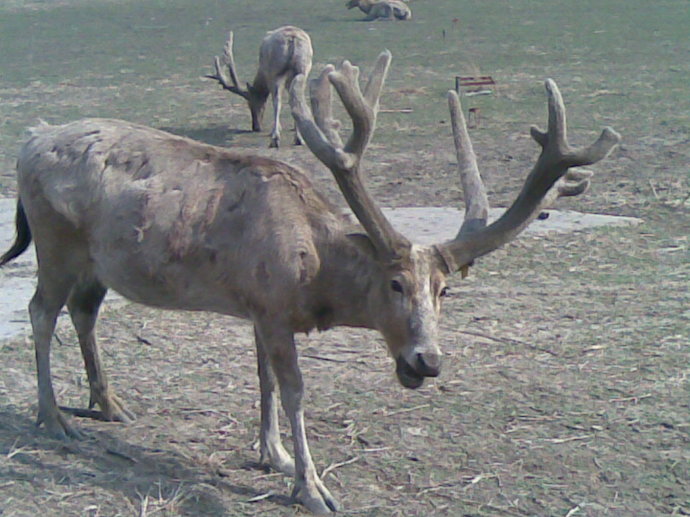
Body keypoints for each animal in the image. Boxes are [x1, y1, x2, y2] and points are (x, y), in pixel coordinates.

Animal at [1, 48, 620, 512]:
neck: (313, 278)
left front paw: (270, 453)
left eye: (444, 290)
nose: (427, 361)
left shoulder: (259, 307)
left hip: (95, 263)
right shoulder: (273, 310)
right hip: (55, 244)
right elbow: (295, 388)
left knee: (83, 312)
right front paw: (310, 485)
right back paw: (54, 417)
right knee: (40, 311)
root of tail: (28, 142)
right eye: (395, 284)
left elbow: (265, 382)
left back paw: (108, 404)